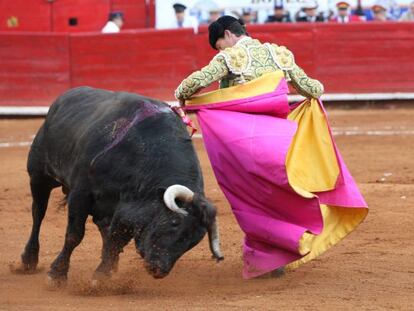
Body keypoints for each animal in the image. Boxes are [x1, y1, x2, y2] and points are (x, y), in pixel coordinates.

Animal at [20, 87, 223, 286]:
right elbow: (75, 234)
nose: (159, 270)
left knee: (103, 227)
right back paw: (28, 260)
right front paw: (57, 274)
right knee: (38, 212)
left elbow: (115, 240)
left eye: (194, 241)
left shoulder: (126, 209)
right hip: (39, 176)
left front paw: (102, 276)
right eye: (174, 223)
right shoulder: (81, 193)